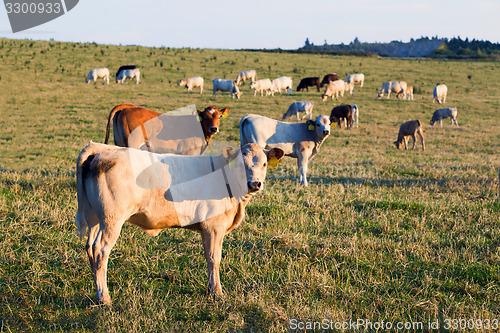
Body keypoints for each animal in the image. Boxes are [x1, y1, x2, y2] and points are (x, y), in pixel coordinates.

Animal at [74, 141, 286, 304]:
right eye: (242, 164)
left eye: (265, 164)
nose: (255, 183)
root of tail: (103, 149)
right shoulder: (213, 226)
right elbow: (214, 258)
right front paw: (216, 292)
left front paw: (211, 289)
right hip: (112, 220)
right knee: (101, 250)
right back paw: (104, 298)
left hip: (94, 218)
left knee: (90, 247)